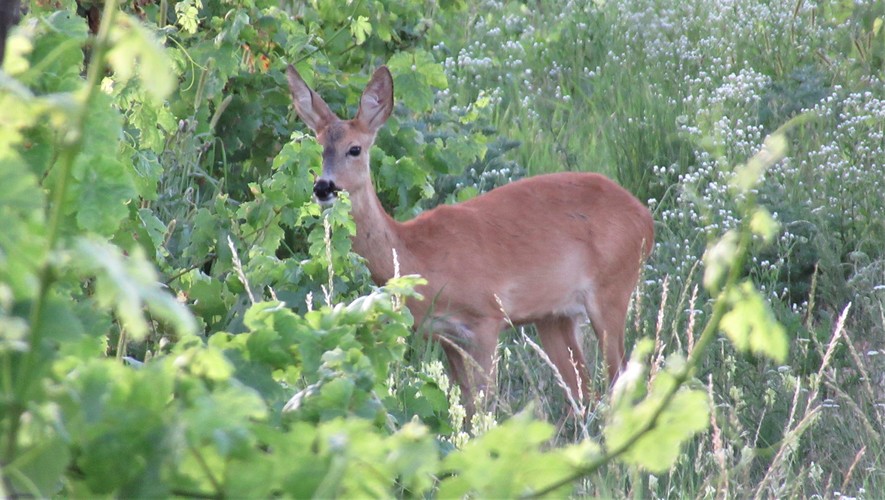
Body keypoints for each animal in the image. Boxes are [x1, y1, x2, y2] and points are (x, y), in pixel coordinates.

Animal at [286, 64, 652, 418]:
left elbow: (484, 406)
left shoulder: (487, 317)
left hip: (612, 288)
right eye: (319, 149)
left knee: (619, 380)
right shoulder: (444, 335)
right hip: (554, 314)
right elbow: (467, 405)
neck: (415, 254)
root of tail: (644, 217)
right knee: (585, 392)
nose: (323, 187)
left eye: (355, 148)